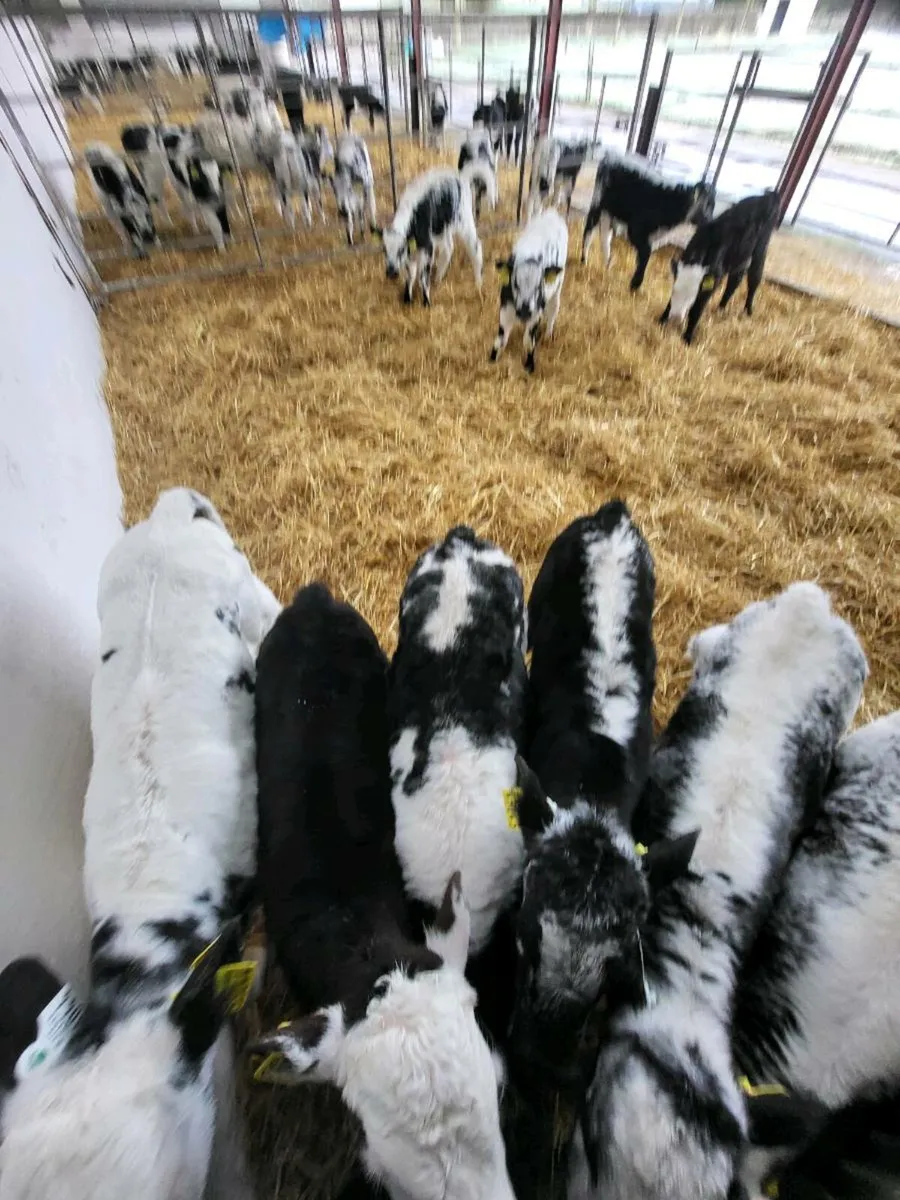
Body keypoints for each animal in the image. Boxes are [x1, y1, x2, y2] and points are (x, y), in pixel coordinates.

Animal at [660, 189, 781, 345]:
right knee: (735, 279)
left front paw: (688, 337)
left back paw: (748, 310)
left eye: (694, 296)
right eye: (674, 290)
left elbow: (697, 310)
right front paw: (662, 318)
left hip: (761, 249)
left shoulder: (713, 280)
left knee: (754, 278)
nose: (675, 318)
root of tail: (767, 196)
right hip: (740, 256)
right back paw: (722, 307)